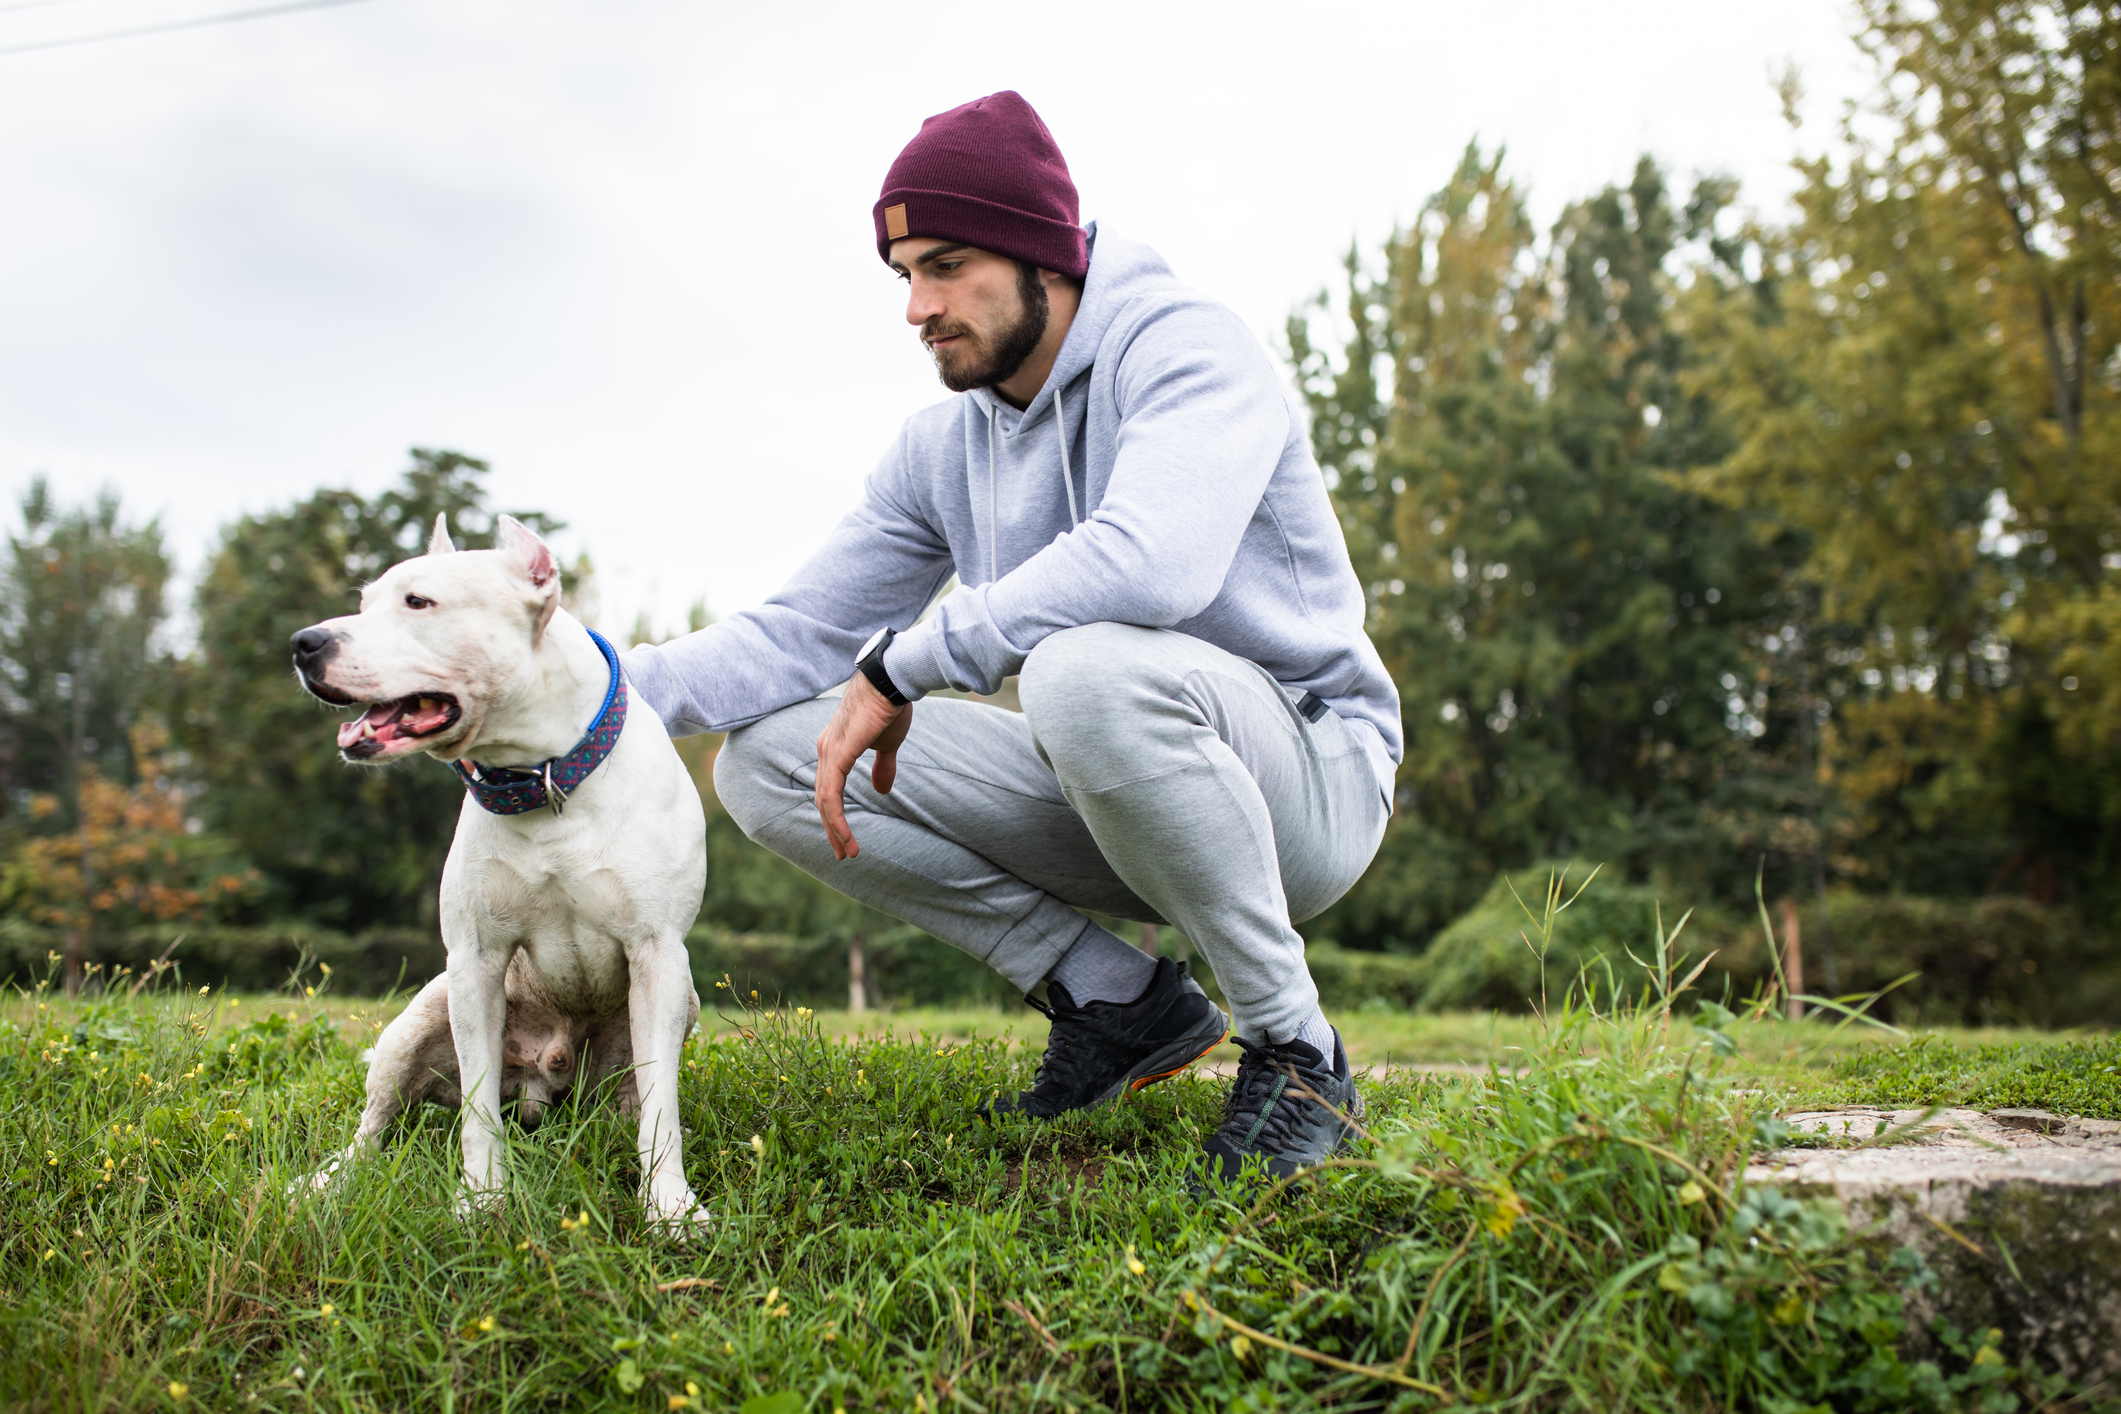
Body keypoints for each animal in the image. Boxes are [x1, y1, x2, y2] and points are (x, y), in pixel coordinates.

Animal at [292, 517, 712, 1229]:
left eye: (418, 602)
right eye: (365, 601)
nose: (303, 643)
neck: (541, 779)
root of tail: (546, 1078)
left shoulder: (657, 954)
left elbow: (663, 1106)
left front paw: (669, 1208)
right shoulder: (476, 959)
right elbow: (477, 1102)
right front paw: (483, 1198)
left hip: (679, 1003)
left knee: (632, 1100)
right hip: (419, 1017)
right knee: (374, 1124)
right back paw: (325, 1183)